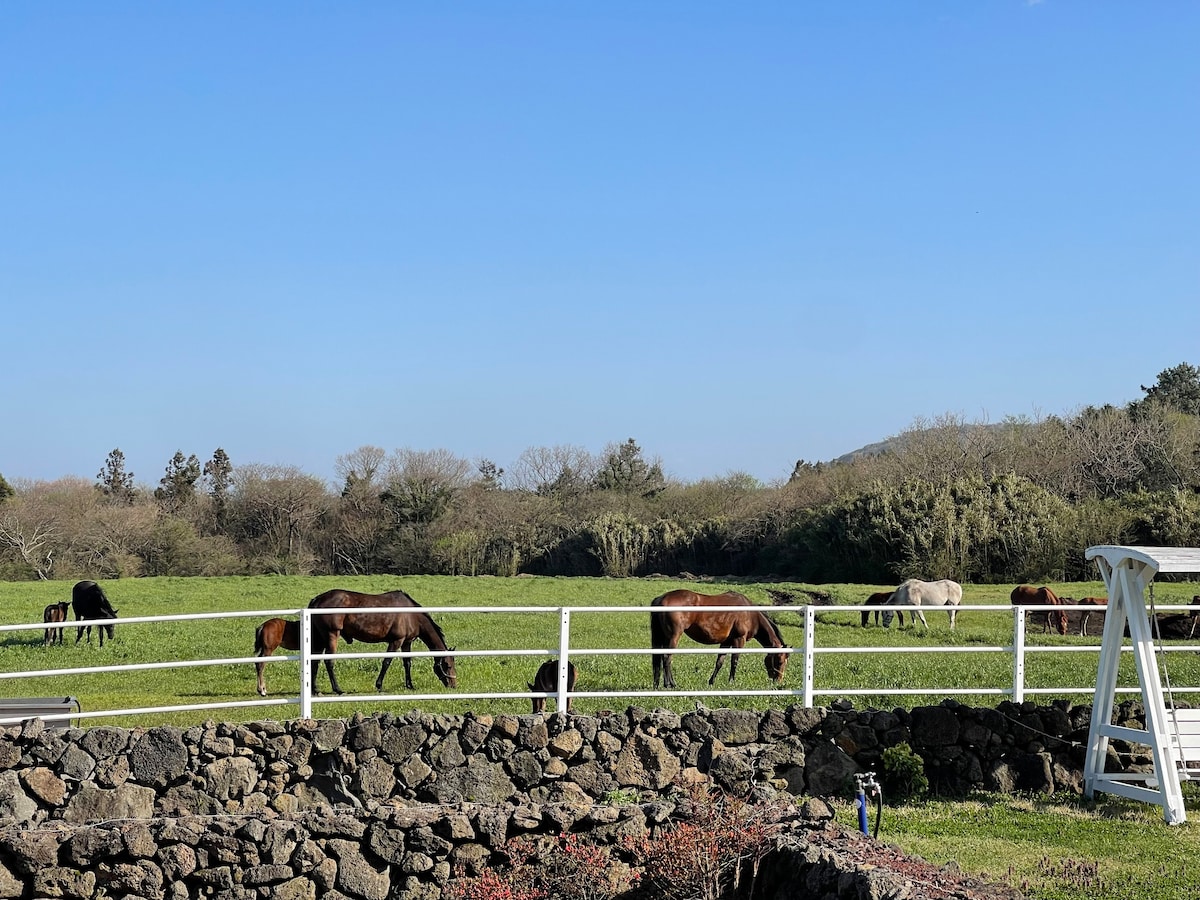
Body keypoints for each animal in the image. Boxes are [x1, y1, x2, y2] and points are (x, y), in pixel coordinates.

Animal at [307, 592, 456, 696]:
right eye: (447, 665)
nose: (453, 685)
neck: (411, 615)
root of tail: (317, 600)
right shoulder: (396, 641)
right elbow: (386, 662)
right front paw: (379, 685)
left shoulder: (406, 643)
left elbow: (407, 663)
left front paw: (410, 685)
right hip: (332, 635)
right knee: (329, 661)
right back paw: (338, 689)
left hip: (320, 639)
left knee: (315, 662)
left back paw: (315, 690)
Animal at [652, 592, 792, 691]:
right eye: (780, 662)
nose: (778, 681)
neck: (750, 614)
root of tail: (662, 598)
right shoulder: (739, 640)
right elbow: (734, 661)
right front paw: (732, 682)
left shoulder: (726, 642)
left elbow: (719, 662)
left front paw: (711, 682)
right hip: (674, 637)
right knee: (667, 658)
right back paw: (671, 684)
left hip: (664, 637)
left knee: (661, 658)